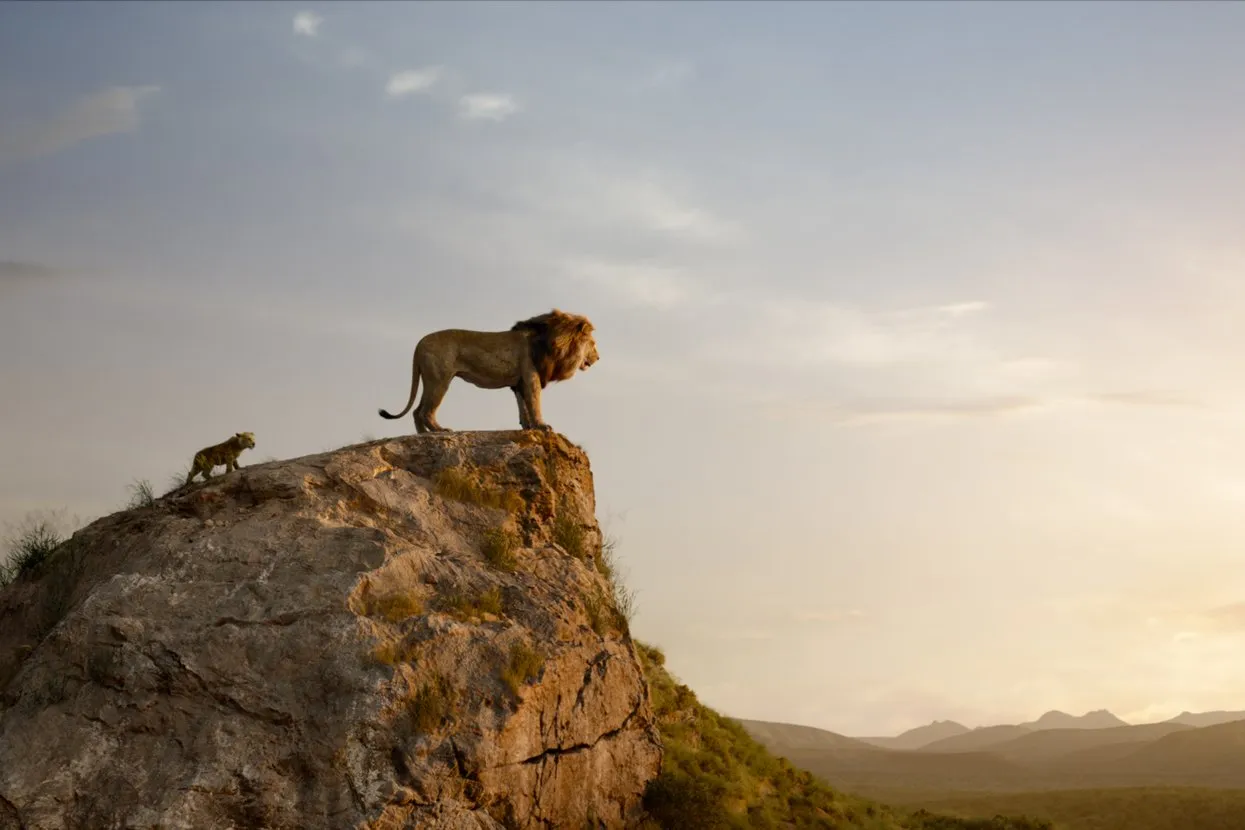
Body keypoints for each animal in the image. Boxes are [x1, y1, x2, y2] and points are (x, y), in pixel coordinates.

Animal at [373, 307, 597, 435]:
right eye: (593, 344)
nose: (598, 357)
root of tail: (419, 344)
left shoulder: (519, 382)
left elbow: (523, 406)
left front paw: (528, 427)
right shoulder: (531, 376)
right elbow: (534, 403)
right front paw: (542, 426)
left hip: (430, 379)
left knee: (416, 411)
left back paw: (423, 436)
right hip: (440, 380)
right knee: (425, 411)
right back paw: (439, 431)